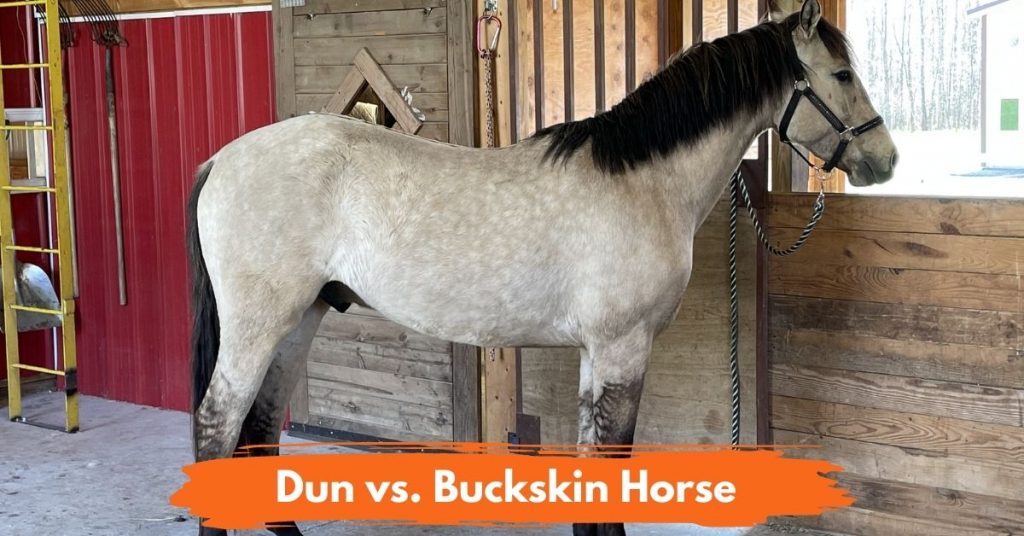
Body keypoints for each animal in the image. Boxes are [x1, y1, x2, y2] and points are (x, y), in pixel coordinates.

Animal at [186, 1, 896, 534]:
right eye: (840, 74)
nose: (885, 160)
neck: (642, 180)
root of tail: (222, 159)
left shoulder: (596, 354)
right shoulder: (623, 349)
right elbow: (612, 463)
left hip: (300, 318)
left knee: (256, 430)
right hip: (258, 326)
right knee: (218, 428)